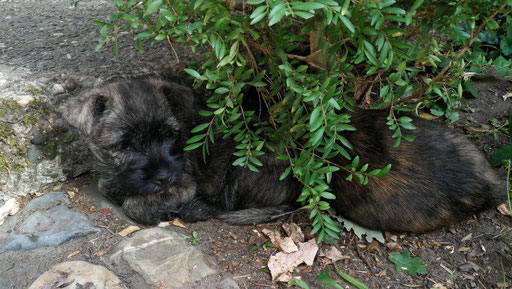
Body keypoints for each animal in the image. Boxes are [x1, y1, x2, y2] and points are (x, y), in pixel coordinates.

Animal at [59, 78, 504, 232]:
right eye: (124, 145)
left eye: (173, 139)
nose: (163, 175)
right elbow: (111, 185)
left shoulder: (182, 185)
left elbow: (135, 204)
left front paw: (145, 205)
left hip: (241, 171)